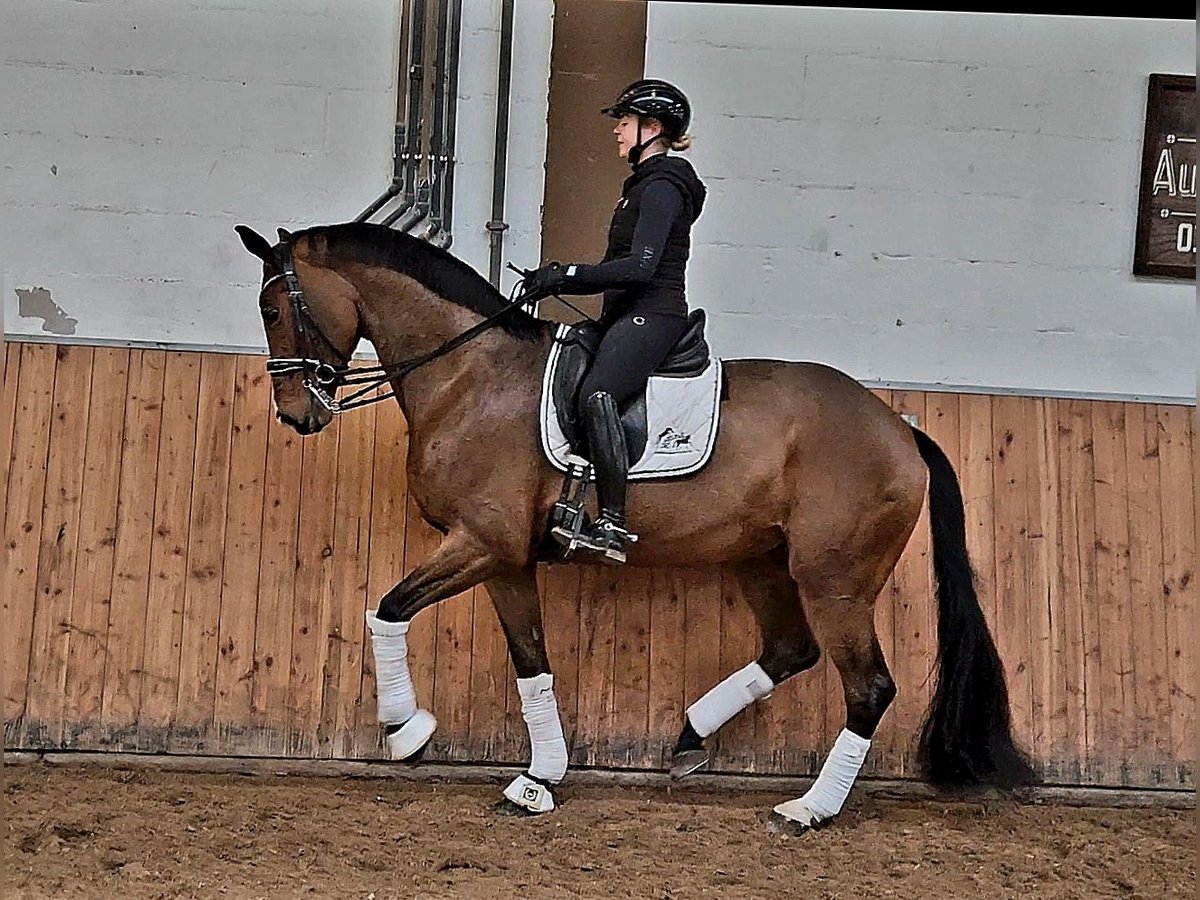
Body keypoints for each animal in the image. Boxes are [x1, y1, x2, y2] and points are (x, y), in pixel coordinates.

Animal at [236, 222, 1041, 835]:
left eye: (274, 308)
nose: (295, 414)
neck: (470, 375)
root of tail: (900, 429)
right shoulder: (506, 561)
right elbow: (532, 663)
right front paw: (540, 778)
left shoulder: (480, 544)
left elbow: (388, 609)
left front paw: (407, 728)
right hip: (762, 560)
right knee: (790, 649)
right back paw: (689, 736)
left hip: (834, 582)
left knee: (868, 688)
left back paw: (808, 808)